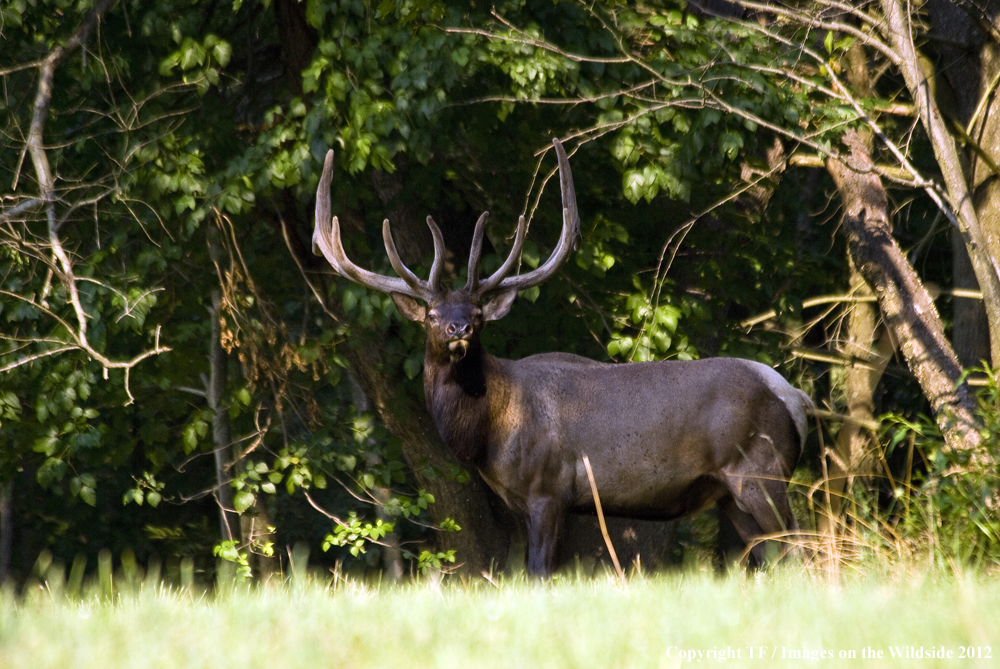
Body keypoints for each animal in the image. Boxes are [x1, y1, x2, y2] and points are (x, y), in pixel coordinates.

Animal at [312, 140, 812, 576]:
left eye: (478, 313)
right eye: (432, 315)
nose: (460, 329)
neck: (490, 430)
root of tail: (794, 397)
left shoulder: (548, 488)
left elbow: (539, 573)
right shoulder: (524, 502)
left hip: (762, 473)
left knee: (800, 547)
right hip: (731, 493)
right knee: (775, 556)